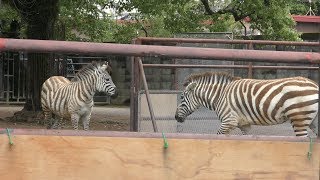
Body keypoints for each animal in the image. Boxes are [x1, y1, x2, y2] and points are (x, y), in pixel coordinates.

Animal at [176, 71, 318, 136]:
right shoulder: (244, 125)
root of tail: (315, 85)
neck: (220, 95)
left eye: (182, 97)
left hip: (299, 119)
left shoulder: (228, 121)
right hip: (313, 120)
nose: (176, 118)